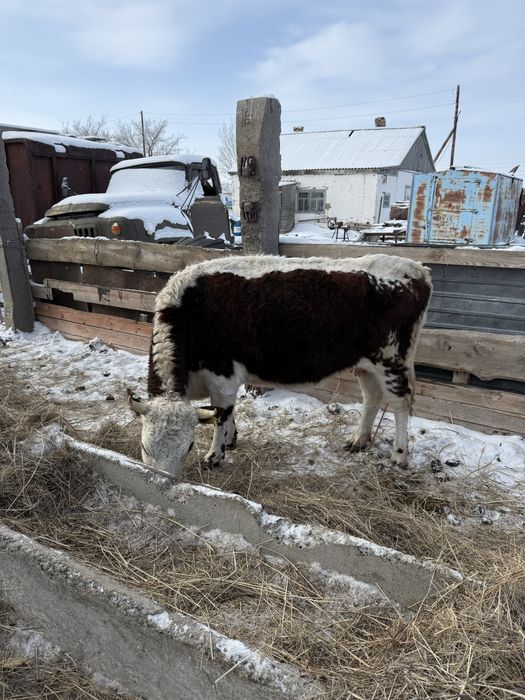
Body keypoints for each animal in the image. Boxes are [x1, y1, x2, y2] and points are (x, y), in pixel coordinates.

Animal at [128, 254, 432, 478]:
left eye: (189, 446)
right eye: (144, 445)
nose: (163, 480)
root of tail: (416, 269)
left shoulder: (222, 373)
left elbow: (222, 414)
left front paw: (214, 456)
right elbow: (225, 412)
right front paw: (232, 440)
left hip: (392, 359)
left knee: (400, 402)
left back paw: (399, 456)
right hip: (366, 363)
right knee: (372, 396)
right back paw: (358, 440)